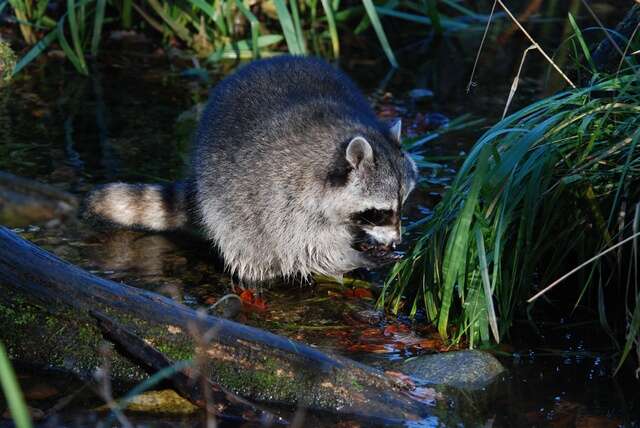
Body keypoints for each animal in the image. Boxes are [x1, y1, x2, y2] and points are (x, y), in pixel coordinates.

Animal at [85, 56, 420, 284]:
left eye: (402, 206)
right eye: (379, 212)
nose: (396, 241)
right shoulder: (284, 199)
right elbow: (308, 248)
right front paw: (354, 256)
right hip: (226, 201)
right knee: (245, 242)